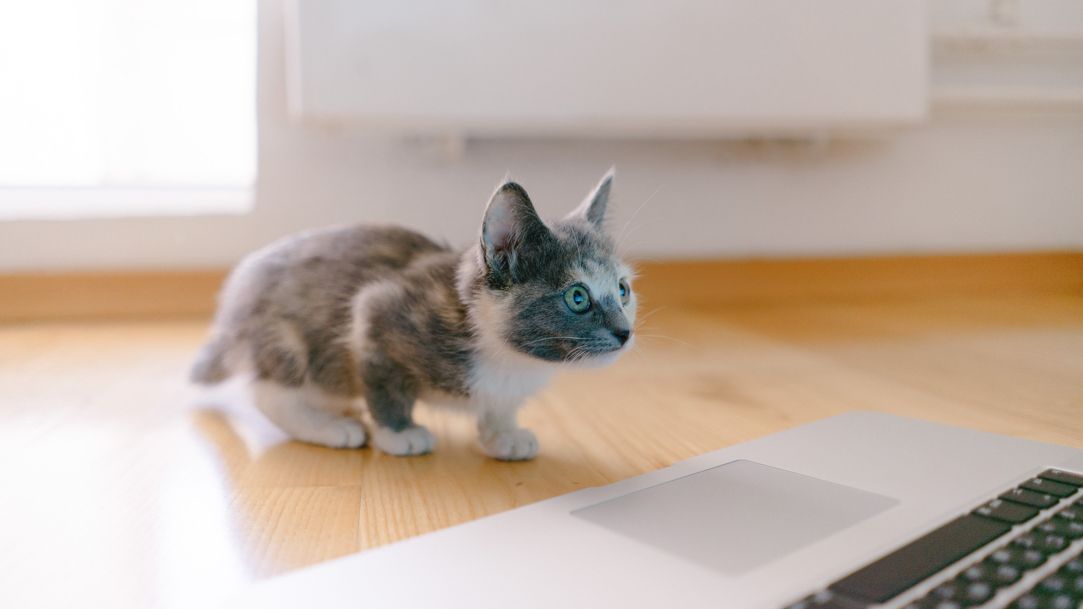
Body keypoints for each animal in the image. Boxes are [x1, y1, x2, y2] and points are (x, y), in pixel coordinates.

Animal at [192, 167, 632, 457]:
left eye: (623, 291)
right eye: (578, 297)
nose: (625, 332)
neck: (507, 356)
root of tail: (232, 306)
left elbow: (499, 404)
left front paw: (502, 434)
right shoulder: (377, 312)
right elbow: (384, 382)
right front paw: (398, 432)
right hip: (288, 338)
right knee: (267, 391)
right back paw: (330, 425)